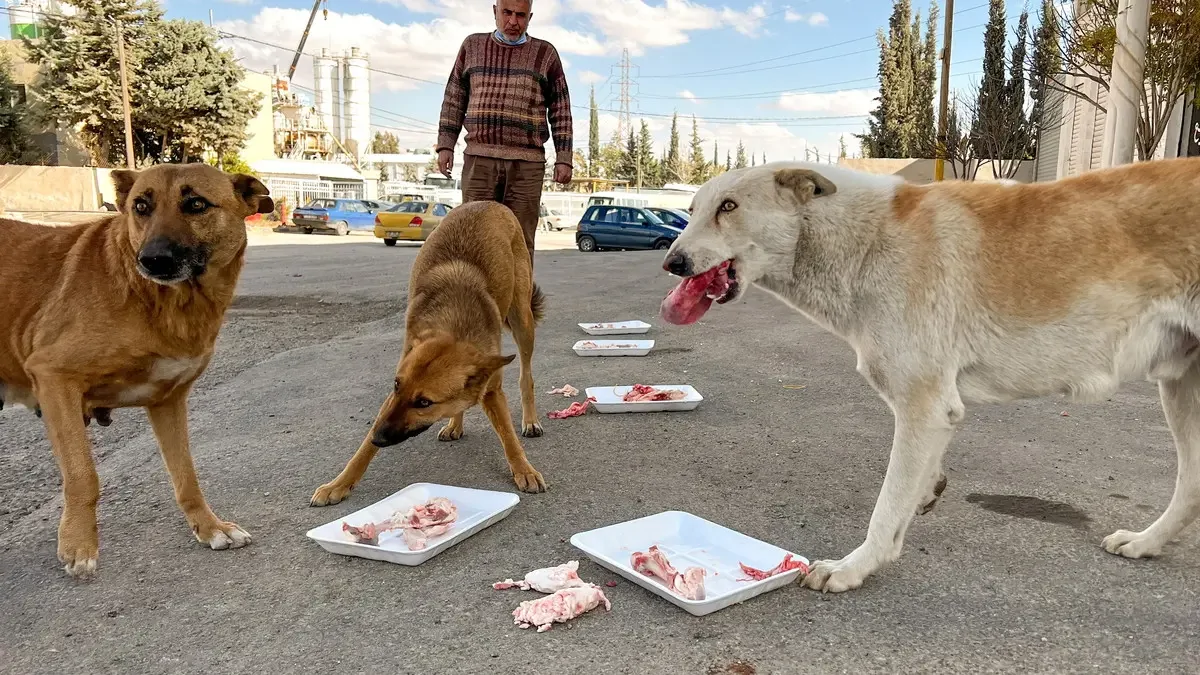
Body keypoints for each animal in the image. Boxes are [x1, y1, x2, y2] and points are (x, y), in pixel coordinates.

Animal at [0, 163, 274, 578]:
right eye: (141, 206)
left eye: (196, 204)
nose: (152, 260)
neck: (164, 302)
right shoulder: (54, 380)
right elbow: (83, 476)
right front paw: (79, 544)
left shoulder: (168, 403)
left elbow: (186, 477)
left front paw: (209, 527)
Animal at [312, 196, 549, 502]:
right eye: (396, 386)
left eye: (424, 403)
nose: (378, 436)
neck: (454, 323)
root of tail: (489, 202)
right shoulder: (394, 395)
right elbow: (362, 452)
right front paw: (339, 484)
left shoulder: (493, 390)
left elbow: (508, 437)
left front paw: (524, 470)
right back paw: (454, 424)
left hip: (522, 320)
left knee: (526, 375)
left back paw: (530, 420)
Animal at [662, 156, 1200, 588]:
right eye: (693, 209)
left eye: (729, 206)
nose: (672, 262)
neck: (865, 241)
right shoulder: (940, 408)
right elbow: (918, 478)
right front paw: (928, 488)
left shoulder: (921, 404)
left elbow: (886, 507)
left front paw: (855, 568)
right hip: (1179, 388)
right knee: (1191, 484)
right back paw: (1147, 542)